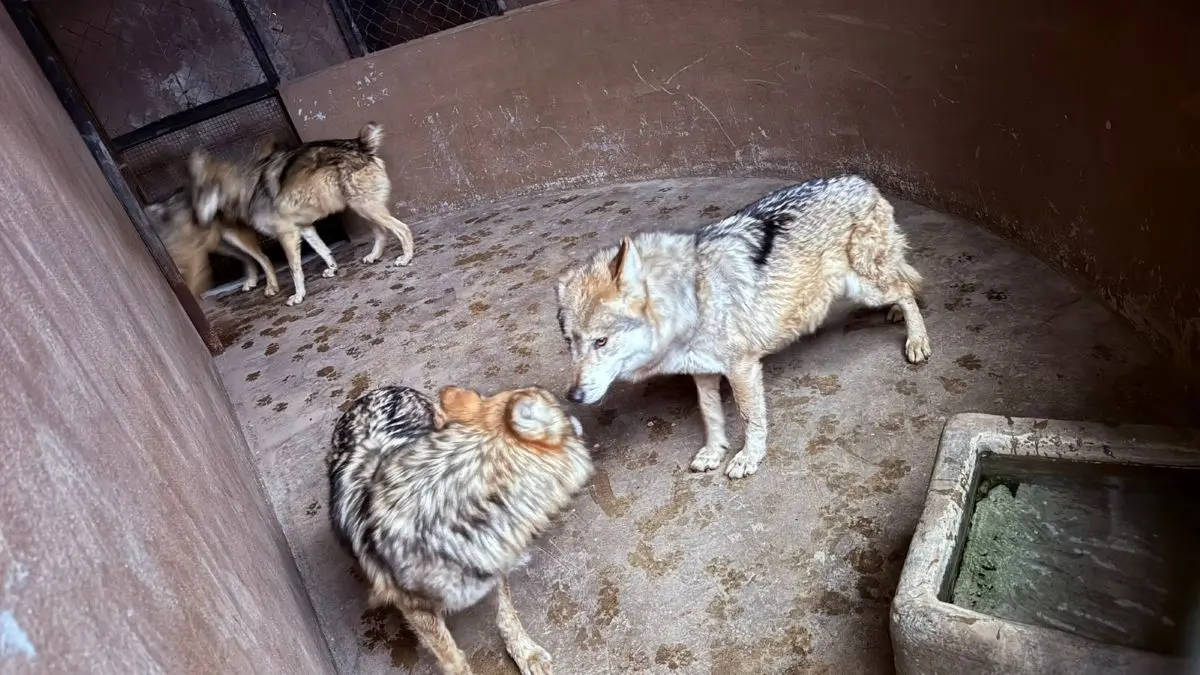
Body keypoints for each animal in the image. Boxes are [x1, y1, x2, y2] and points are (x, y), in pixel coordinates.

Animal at [145, 187, 279, 299]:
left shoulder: (195, 260)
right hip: (222, 246)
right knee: (248, 258)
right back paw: (251, 280)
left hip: (234, 238)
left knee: (263, 258)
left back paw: (271, 286)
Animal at [186, 122, 416, 306]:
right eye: (195, 196)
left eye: (203, 193)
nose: (197, 221)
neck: (248, 188)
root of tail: (360, 143)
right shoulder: (305, 228)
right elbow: (324, 251)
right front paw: (332, 269)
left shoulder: (287, 234)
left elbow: (294, 269)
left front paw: (298, 296)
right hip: (362, 209)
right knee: (382, 233)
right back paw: (374, 256)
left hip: (365, 208)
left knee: (403, 229)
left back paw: (405, 258)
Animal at [328, 384, 594, 675]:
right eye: (560, 408)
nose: (575, 404)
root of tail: (378, 390)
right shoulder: (417, 611)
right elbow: (453, 659)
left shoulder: (491, 564)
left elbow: (507, 617)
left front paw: (526, 654)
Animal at [555, 175, 932, 479]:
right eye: (571, 342)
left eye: (601, 342)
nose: (573, 396)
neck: (693, 298)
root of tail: (864, 181)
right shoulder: (702, 371)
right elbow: (710, 415)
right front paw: (713, 452)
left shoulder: (743, 367)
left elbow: (750, 417)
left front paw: (749, 457)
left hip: (864, 287)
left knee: (905, 288)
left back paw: (916, 340)